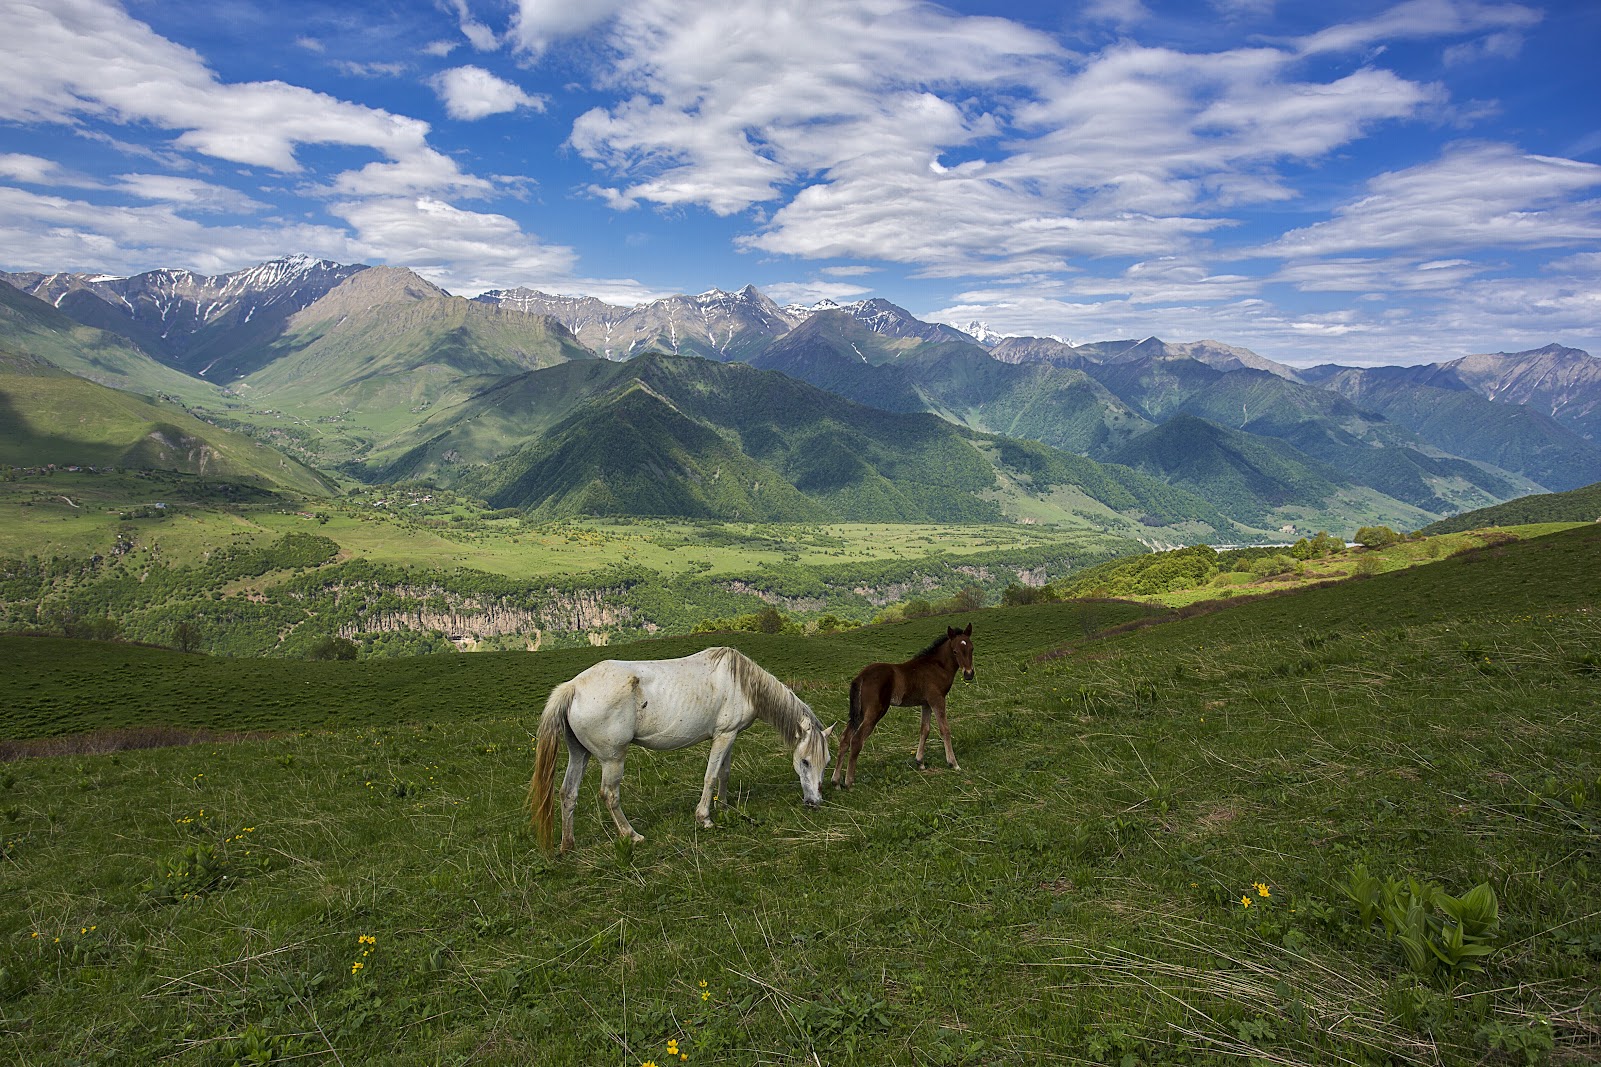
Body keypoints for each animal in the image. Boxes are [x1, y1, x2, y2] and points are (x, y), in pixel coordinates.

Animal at [528, 644, 832, 852]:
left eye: (826, 762)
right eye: (805, 761)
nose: (815, 802)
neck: (742, 683)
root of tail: (573, 687)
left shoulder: (730, 735)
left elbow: (724, 773)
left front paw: (724, 806)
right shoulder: (723, 736)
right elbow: (711, 775)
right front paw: (705, 818)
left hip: (579, 754)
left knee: (568, 793)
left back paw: (568, 844)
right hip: (612, 759)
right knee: (609, 795)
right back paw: (632, 835)